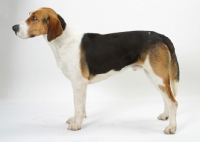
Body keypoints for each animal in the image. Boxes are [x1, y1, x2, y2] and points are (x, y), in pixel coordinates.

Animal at [11, 7, 179, 134]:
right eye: (29, 15)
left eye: (34, 18)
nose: (13, 28)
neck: (63, 40)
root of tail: (160, 36)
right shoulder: (80, 85)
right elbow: (79, 106)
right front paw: (76, 120)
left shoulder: (78, 84)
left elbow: (78, 107)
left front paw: (76, 125)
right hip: (154, 76)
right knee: (166, 98)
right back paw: (165, 116)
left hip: (158, 77)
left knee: (173, 102)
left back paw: (171, 127)